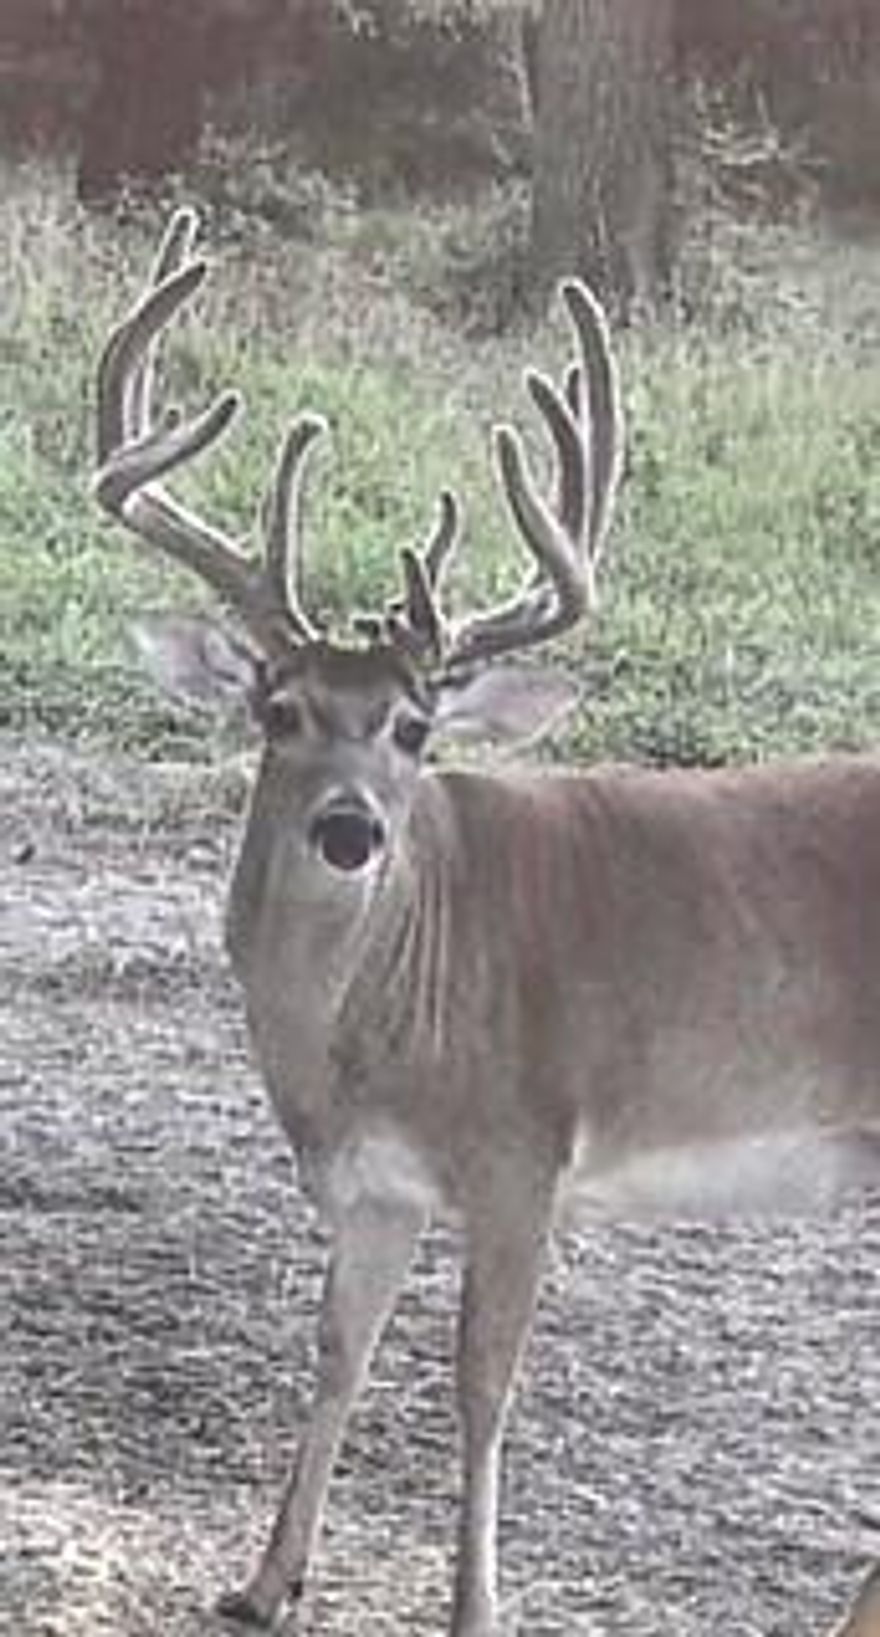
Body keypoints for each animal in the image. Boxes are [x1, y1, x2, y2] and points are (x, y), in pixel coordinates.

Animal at [93, 210, 878, 1637]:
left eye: (413, 727)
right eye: (279, 709)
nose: (352, 828)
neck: (376, 1034)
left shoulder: (526, 1150)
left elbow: (480, 1384)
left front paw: (475, 1605)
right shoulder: (371, 1181)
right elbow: (337, 1351)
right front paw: (264, 1581)